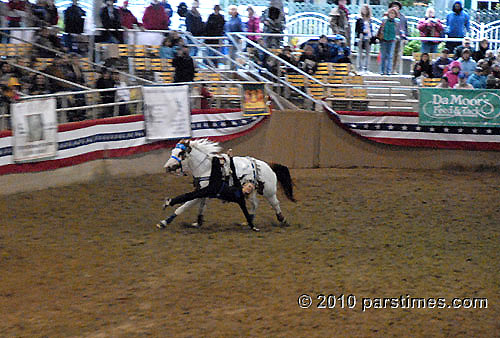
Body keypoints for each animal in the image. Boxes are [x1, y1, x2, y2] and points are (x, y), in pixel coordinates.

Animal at [158, 138, 294, 230]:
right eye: (173, 151)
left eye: (180, 153)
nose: (167, 167)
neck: (206, 168)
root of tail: (268, 165)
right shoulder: (203, 193)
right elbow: (201, 206)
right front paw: (198, 221)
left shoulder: (202, 192)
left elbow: (184, 206)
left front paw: (164, 222)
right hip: (251, 191)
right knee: (255, 204)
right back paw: (248, 221)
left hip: (268, 191)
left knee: (275, 203)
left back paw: (282, 219)